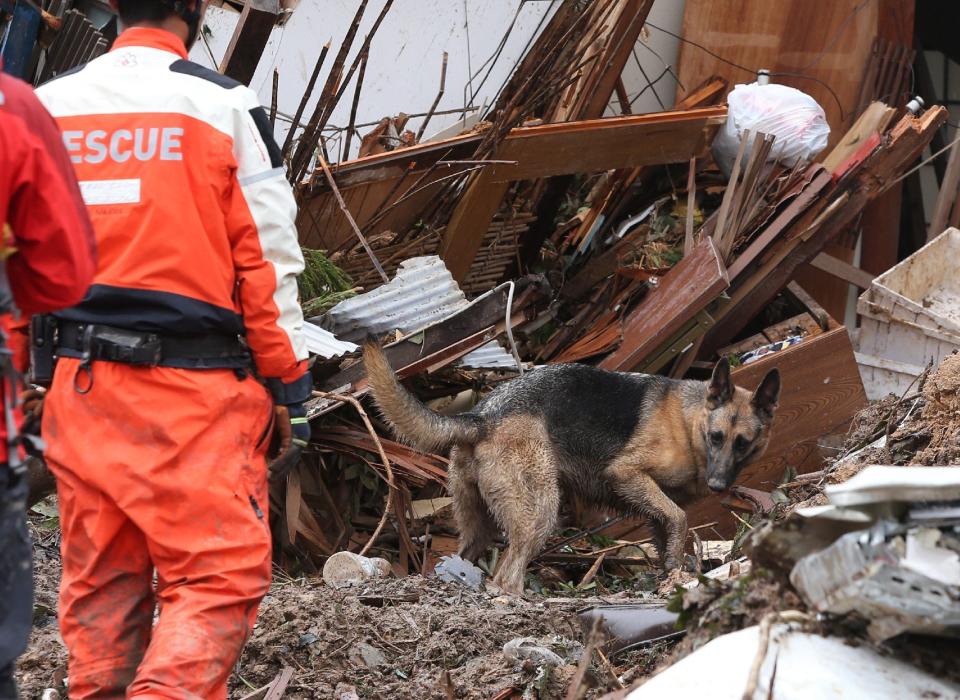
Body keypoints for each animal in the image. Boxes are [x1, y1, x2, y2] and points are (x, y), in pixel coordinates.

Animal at [364, 344, 776, 592]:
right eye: (717, 437)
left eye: (743, 443)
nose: (719, 485)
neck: (691, 423)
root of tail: (482, 416)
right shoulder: (626, 473)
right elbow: (678, 517)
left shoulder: (654, 510)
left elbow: (668, 534)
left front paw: (673, 573)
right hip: (540, 513)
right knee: (506, 577)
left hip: (477, 527)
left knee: (473, 559)